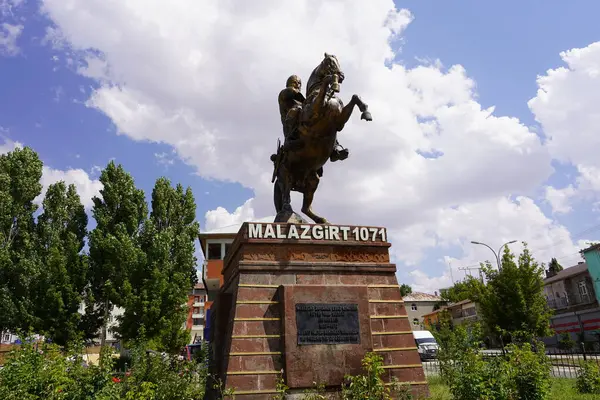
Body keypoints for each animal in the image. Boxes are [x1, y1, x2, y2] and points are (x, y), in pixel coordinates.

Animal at [274, 52, 370, 225]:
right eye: (330, 62)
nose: (340, 76)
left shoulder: (339, 121)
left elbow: (355, 97)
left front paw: (366, 112)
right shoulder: (313, 113)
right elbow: (320, 95)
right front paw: (329, 80)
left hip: (312, 180)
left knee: (305, 207)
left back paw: (321, 220)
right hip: (285, 173)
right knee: (286, 195)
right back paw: (287, 212)